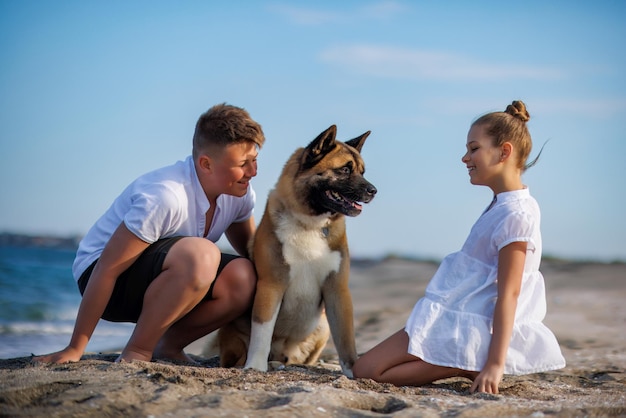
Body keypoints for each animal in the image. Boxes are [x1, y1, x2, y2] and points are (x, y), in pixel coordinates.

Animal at [214, 125, 376, 378]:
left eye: (362, 171)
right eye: (345, 169)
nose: (373, 190)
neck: (309, 223)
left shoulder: (338, 290)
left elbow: (346, 339)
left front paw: (353, 371)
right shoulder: (271, 285)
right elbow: (262, 330)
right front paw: (255, 366)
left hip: (322, 326)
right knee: (239, 357)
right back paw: (267, 363)